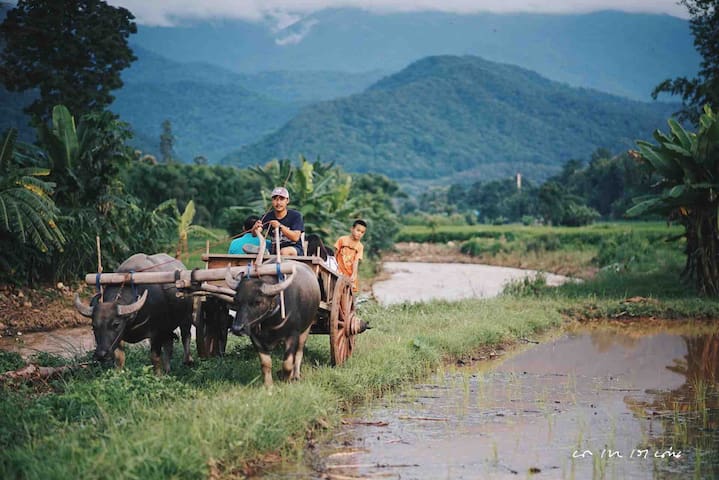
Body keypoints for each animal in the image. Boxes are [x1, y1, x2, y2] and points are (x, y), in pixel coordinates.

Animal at [222, 258, 318, 386]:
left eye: (257, 302)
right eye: (236, 300)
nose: (237, 328)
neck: (270, 322)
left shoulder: (292, 334)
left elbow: (288, 362)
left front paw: (286, 380)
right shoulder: (255, 337)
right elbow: (266, 363)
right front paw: (268, 385)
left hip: (306, 328)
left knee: (299, 352)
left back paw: (296, 375)